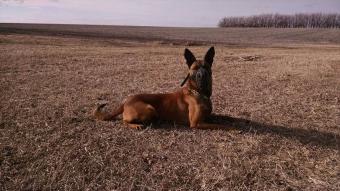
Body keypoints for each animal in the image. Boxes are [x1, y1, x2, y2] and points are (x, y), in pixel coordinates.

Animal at [93, 46, 226, 129]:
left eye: (206, 67)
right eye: (195, 68)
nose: (202, 75)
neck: (198, 92)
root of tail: (125, 101)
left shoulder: (207, 117)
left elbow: (218, 119)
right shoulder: (196, 123)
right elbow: (222, 126)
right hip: (150, 108)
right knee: (124, 121)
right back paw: (137, 125)